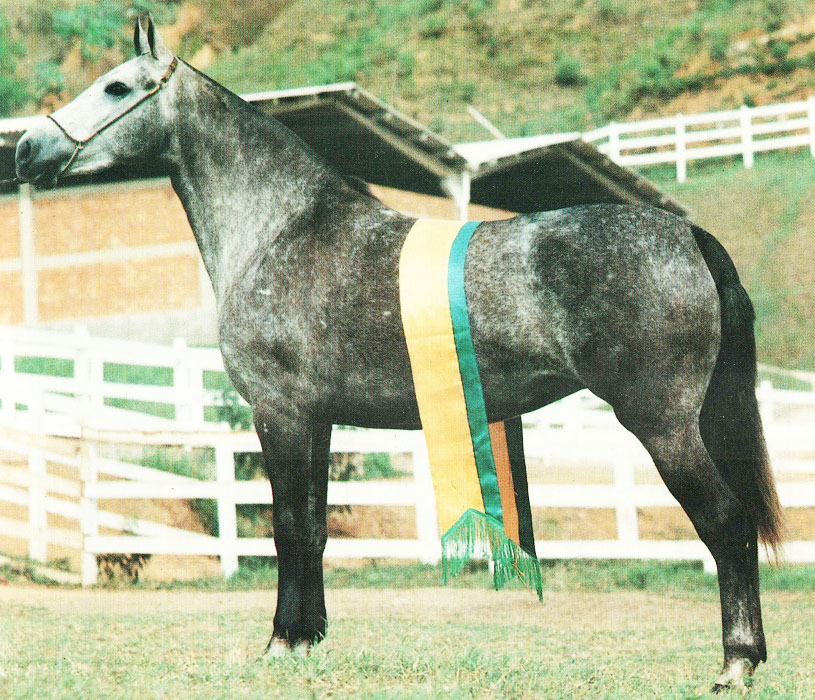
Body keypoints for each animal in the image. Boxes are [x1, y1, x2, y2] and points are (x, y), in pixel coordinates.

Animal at [14, 13, 784, 692]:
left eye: (118, 87)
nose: (25, 149)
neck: (279, 230)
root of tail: (687, 235)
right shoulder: (317, 420)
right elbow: (315, 528)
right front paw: (309, 637)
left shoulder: (280, 414)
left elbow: (288, 528)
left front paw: (282, 643)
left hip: (663, 425)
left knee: (726, 524)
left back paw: (735, 665)